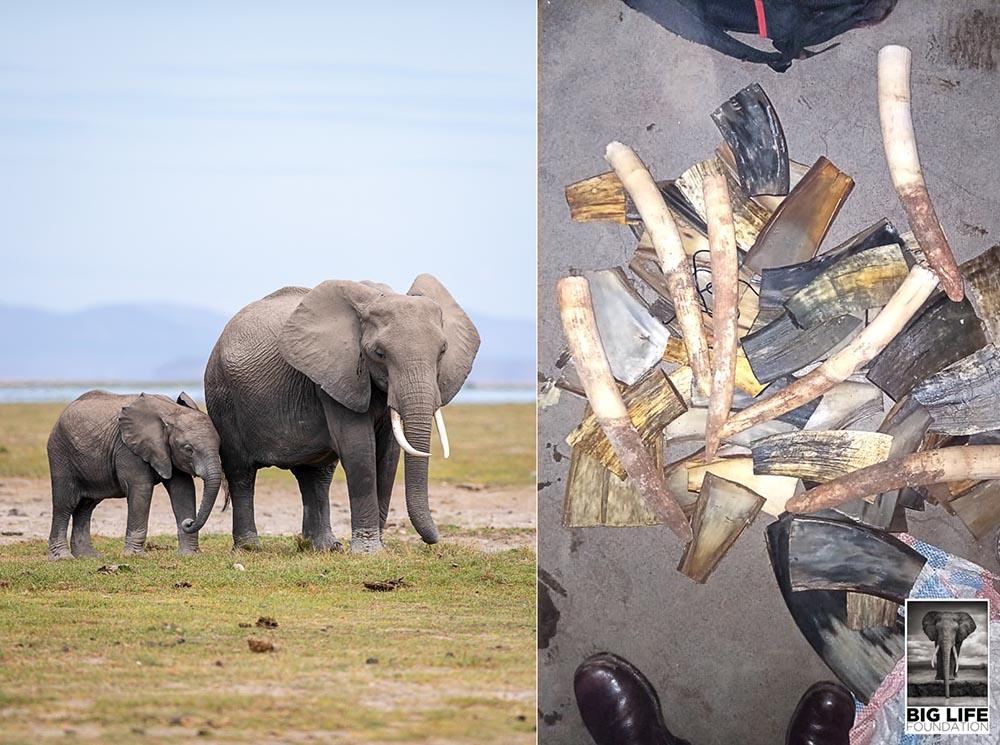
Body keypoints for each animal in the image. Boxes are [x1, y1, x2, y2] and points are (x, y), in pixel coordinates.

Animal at [47, 390, 223, 560]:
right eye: (188, 449)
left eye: (220, 445)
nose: (189, 522)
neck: (171, 411)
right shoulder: (128, 449)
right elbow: (141, 489)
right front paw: (135, 556)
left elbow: (183, 490)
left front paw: (190, 555)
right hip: (60, 454)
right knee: (65, 504)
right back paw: (62, 557)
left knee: (86, 507)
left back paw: (88, 557)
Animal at [188, 274, 484, 552]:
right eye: (379, 353)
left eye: (443, 350)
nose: (434, 539)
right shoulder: (335, 375)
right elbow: (359, 449)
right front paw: (368, 551)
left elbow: (388, 454)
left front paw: (378, 547)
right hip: (222, 395)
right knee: (241, 472)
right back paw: (250, 548)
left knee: (316, 476)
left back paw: (324, 547)